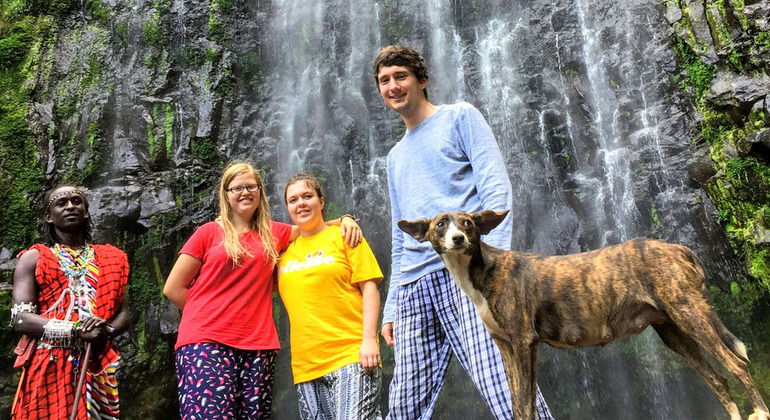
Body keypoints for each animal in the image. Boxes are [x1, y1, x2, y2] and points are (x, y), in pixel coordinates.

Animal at [400, 210, 764, 420]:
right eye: (440, 224)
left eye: (469, 223)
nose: (458, 239)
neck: (482, 273)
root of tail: (677, 247)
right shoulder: (505, 348)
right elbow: (517, 405)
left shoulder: (524, 343)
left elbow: (527, 405)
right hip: (675, 333)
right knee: (718, 380)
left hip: (692, 317)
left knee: (738, 366)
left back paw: (760, 410)